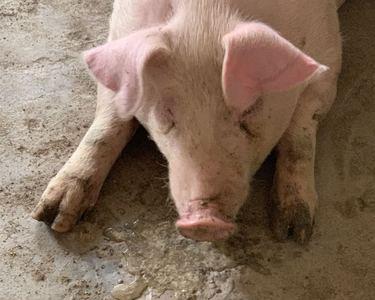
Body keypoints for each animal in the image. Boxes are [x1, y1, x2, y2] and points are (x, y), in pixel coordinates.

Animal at [32, 0, 346, 244]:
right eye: (165, 114)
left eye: (249, 111)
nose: (204, 222)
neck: (206, 17)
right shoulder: (120, 33)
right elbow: (108, 124)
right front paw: (51, 218)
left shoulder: (329, 50)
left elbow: (300, 134)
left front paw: (293, 231)